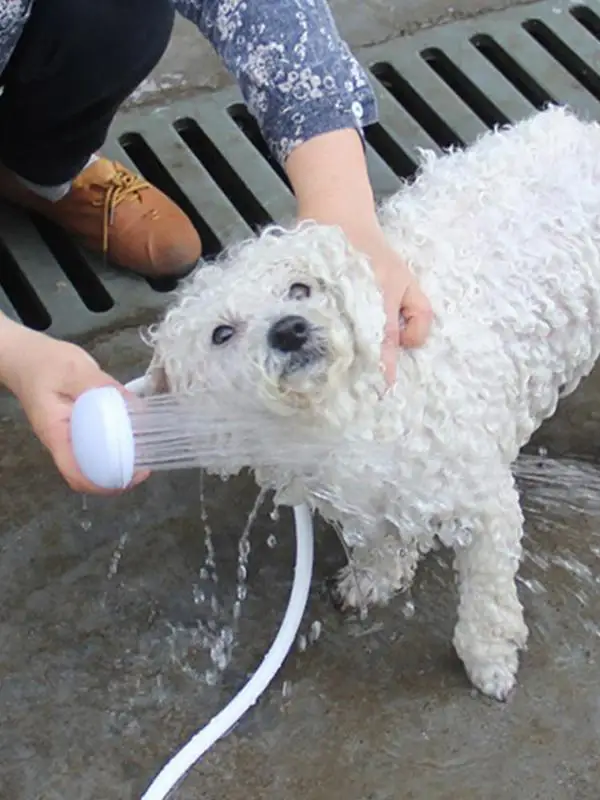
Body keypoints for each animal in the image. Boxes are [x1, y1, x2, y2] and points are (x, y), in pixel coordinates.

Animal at [144, 104, 600, 700]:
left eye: (300, 288)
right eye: (221, 334)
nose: (290, 329)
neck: (350, 414)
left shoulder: (484, 502)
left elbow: (487, 594)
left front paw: (489, 658)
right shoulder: (361, 498)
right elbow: (381, 541)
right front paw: (376, 576)